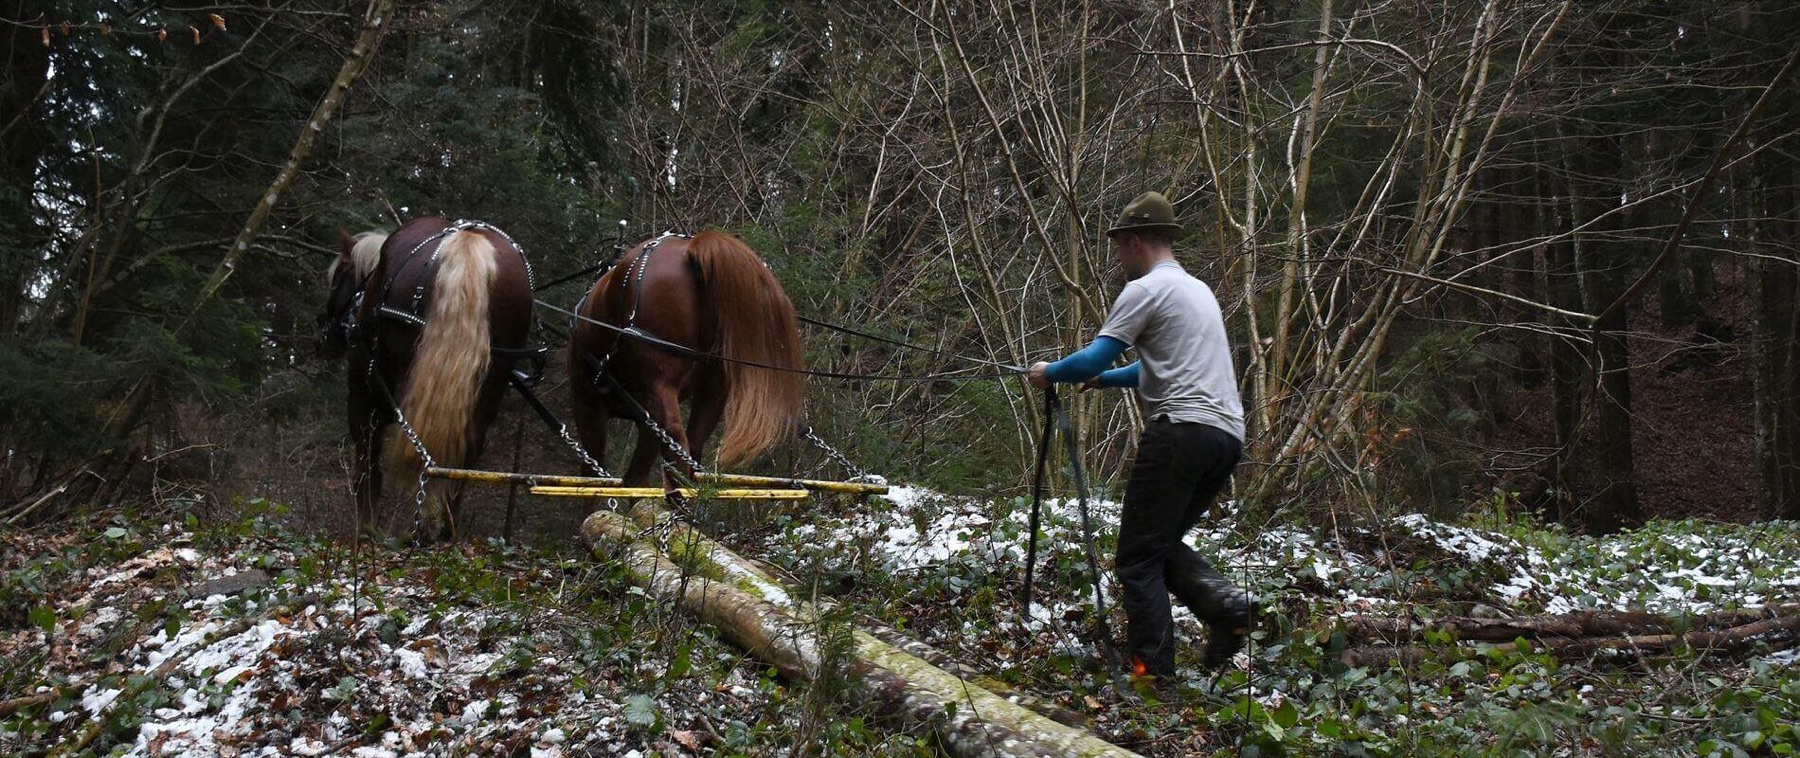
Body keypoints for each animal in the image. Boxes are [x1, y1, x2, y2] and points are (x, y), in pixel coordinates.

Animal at [317, 217, 536, 540]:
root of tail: (467, 240)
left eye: (335, 279)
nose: (325, 338)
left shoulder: (364, 394)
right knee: (466, 450)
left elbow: (368, 465)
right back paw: (446, 528)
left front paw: (366, 528)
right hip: (493, 376)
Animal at [567, 231, 804, 487]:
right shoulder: (644, 416)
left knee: (675, 441)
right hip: (710, 389)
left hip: (659, 379)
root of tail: (692, 249)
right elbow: (635, 476)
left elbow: (592, 474)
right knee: (690, 445)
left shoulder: (587, 404)